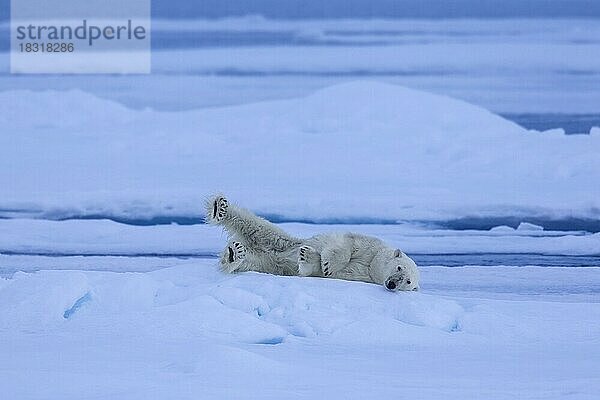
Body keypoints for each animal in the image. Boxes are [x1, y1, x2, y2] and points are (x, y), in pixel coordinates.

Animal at [204, 194, 420, 290]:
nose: (392, 283)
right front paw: (328, 263)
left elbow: (317, 271)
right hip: (283, 241)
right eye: (399, 267)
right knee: (258, 226)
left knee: (254, 259)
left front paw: (308, 258)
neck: (372, 266)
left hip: (272, 264)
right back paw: (219, 208)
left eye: (408, 281)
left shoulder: (360, 278)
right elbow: (345, 244)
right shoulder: (370, 245)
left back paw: (234, 255)